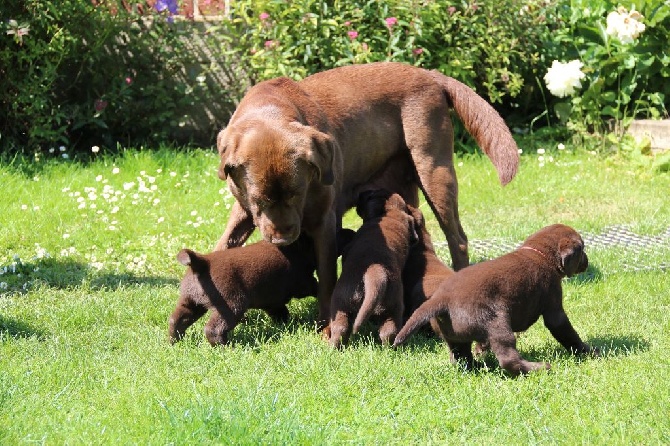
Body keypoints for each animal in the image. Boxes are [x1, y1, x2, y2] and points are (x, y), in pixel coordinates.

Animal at [167, 235, 316, 346]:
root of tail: (200, 263)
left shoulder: (273, 301)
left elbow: (280, 312)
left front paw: (288, 323)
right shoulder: (303, 282)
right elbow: (315, 287)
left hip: (191, 302)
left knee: (176, 320)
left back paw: (175, 341)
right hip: (231, 305)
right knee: (213, 329)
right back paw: (226, 347)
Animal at [218, 61, 524, 328]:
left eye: (297, 193)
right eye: (259, 200)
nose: (283, 240)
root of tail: (432, 75)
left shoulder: (325, 222)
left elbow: (327, 276)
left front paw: (326, 325)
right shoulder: (242, 210)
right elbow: (224, 245)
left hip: (434, 170)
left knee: (457, 238)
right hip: (405, 188)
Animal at [330, 189, 420, 348]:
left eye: (368, 195)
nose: (360, 194)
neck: (390, 212)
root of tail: (376, 271)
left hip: (346, 302)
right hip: (381, 307)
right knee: (386, 332)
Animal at [394, 225, 600, 374]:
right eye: (582, 248)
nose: (587, 261)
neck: (539, 253)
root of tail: (441, 299)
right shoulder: (554, 308)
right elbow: (568, 334)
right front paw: (588, 351)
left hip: (454, 337)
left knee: (461, 358)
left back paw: (478, 366)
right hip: (498, 324)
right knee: (508, 359)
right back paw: (538, 368)